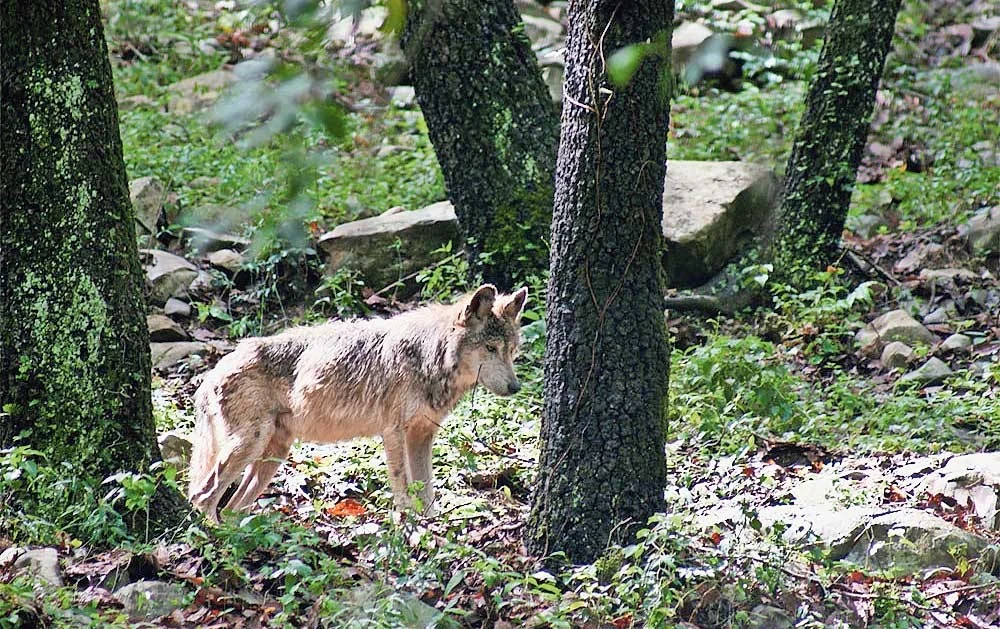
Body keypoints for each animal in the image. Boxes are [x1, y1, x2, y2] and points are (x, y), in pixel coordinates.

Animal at [187, 284, 527, 521]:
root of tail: (213, 371)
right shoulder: (394, 433)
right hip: (249, 446)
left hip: (273, 455)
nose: (516, 387)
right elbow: (403, 489)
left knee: (231, 508)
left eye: (512, 351)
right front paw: (409, 527)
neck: (430, 355)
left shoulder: (422, 436)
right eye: (490, 348)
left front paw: (432, 528)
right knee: (203, 497)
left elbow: (427, 492)